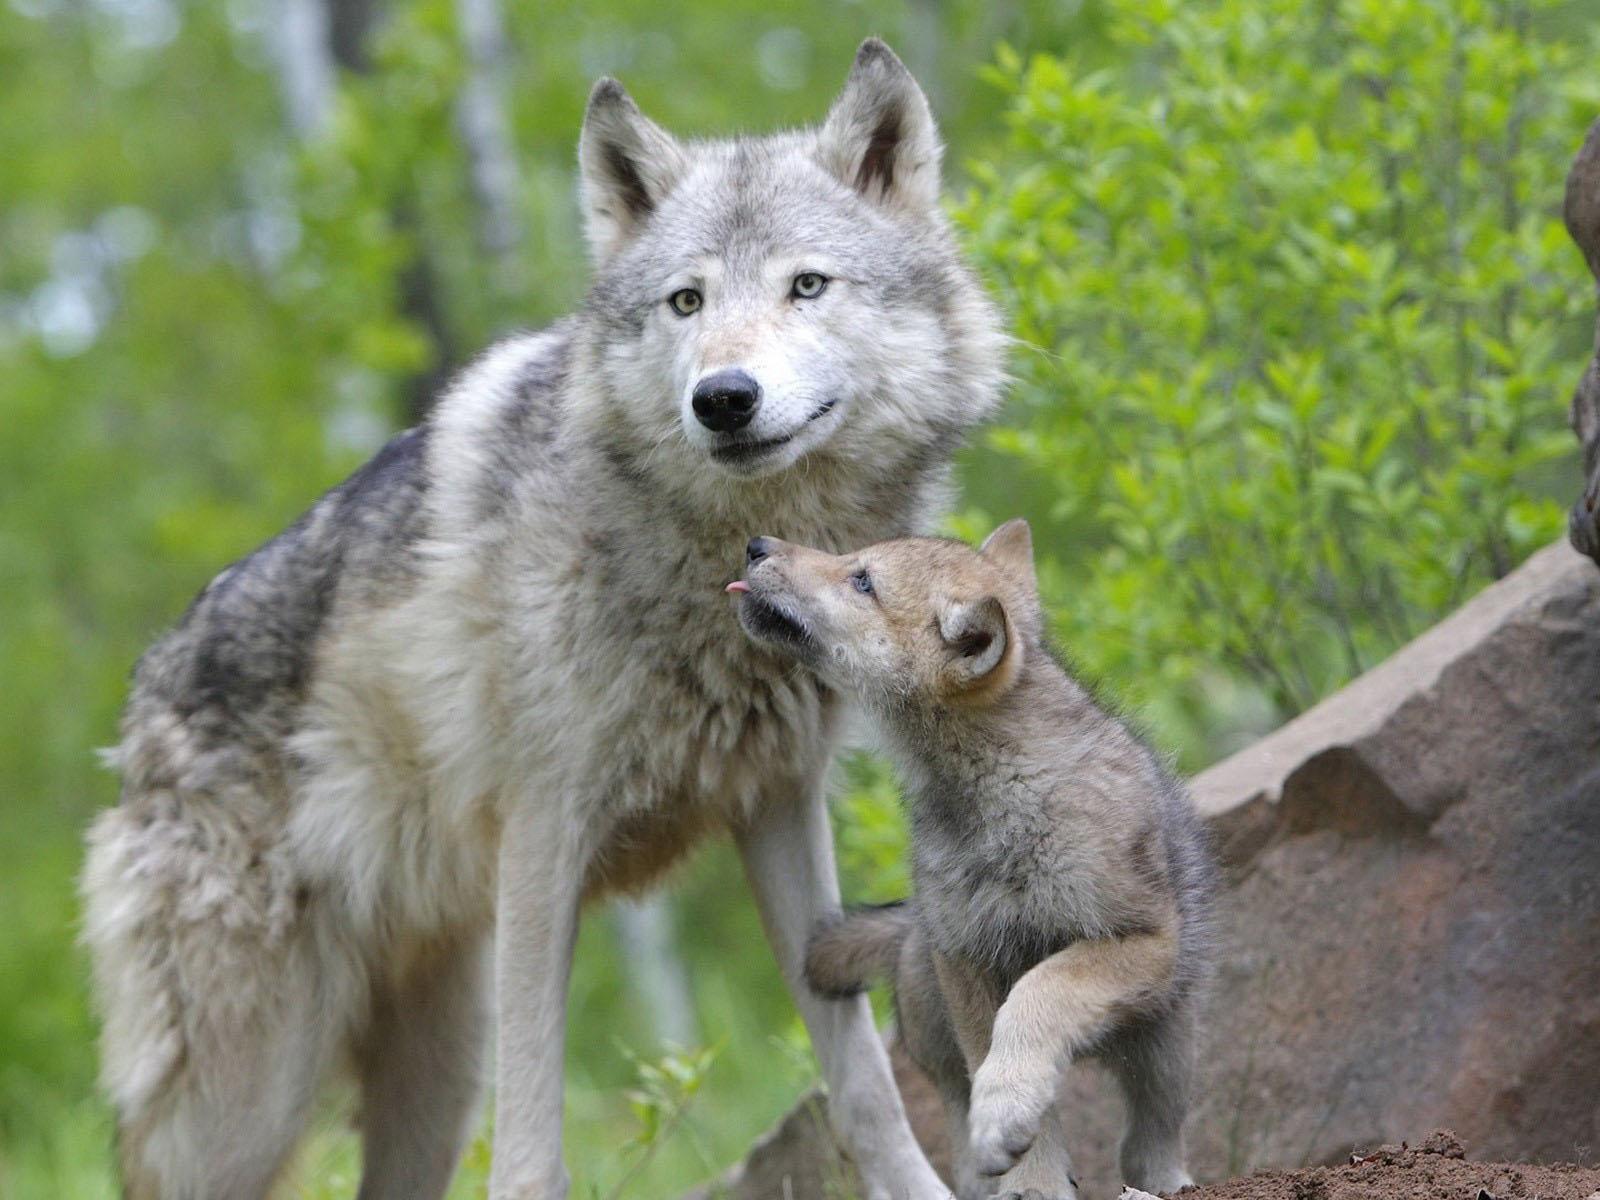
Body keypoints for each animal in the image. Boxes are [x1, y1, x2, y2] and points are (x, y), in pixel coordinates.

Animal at [81, 35, 998, 1200]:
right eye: (686, 302)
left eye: (807, 286)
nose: (723, 399)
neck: (715, 566)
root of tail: (140, 706)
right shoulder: (543, 839)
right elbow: (530, 1149)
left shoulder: (780, 807)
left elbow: (864, 1089)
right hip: (249, 1098)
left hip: (433, 1067)